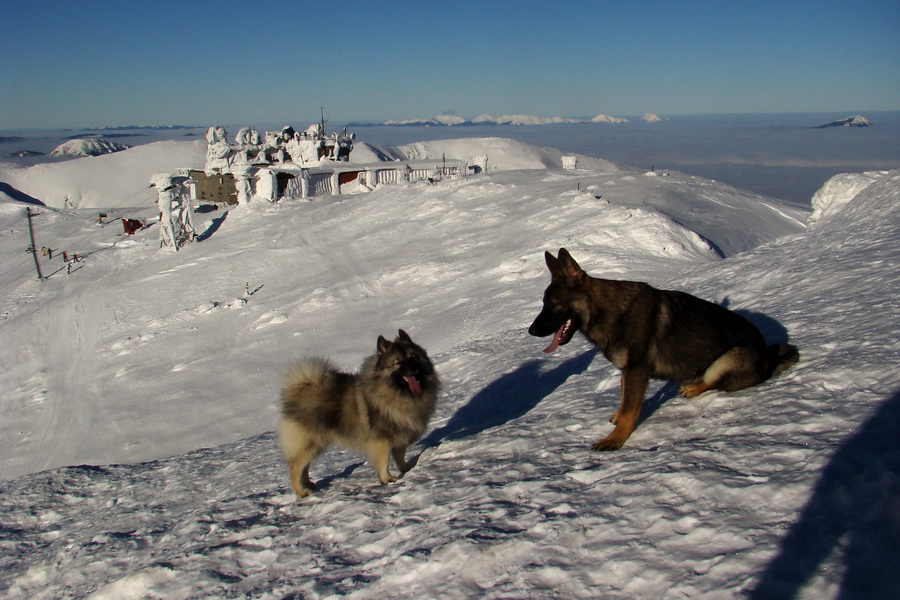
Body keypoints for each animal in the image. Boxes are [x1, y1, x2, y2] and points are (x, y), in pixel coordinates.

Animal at [278, 330, 440, 500]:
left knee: (305, 467)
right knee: (296, 467)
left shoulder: (400, 436)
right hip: (308, 443)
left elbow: (400, 456)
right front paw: (387, 480)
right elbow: (383, 462)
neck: (401, 394)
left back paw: (309, 484)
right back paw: (301, 491)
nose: (412, 368)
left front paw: (406, 468)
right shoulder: (382, 441)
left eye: (414, 357)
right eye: (398, 363)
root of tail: (297, 391)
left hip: (316, 444)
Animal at [532, 248, 800, 450]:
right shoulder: (629, 372)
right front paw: (618, 417)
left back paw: (693, 387)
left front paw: (615, 440)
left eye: (552, 304)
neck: (607, 310)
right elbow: (625, 398)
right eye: (543, 303)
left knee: (713, 380)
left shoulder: (638, 370)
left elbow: (630, 410)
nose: (531, 331)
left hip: (727, 359)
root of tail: (768, 356)